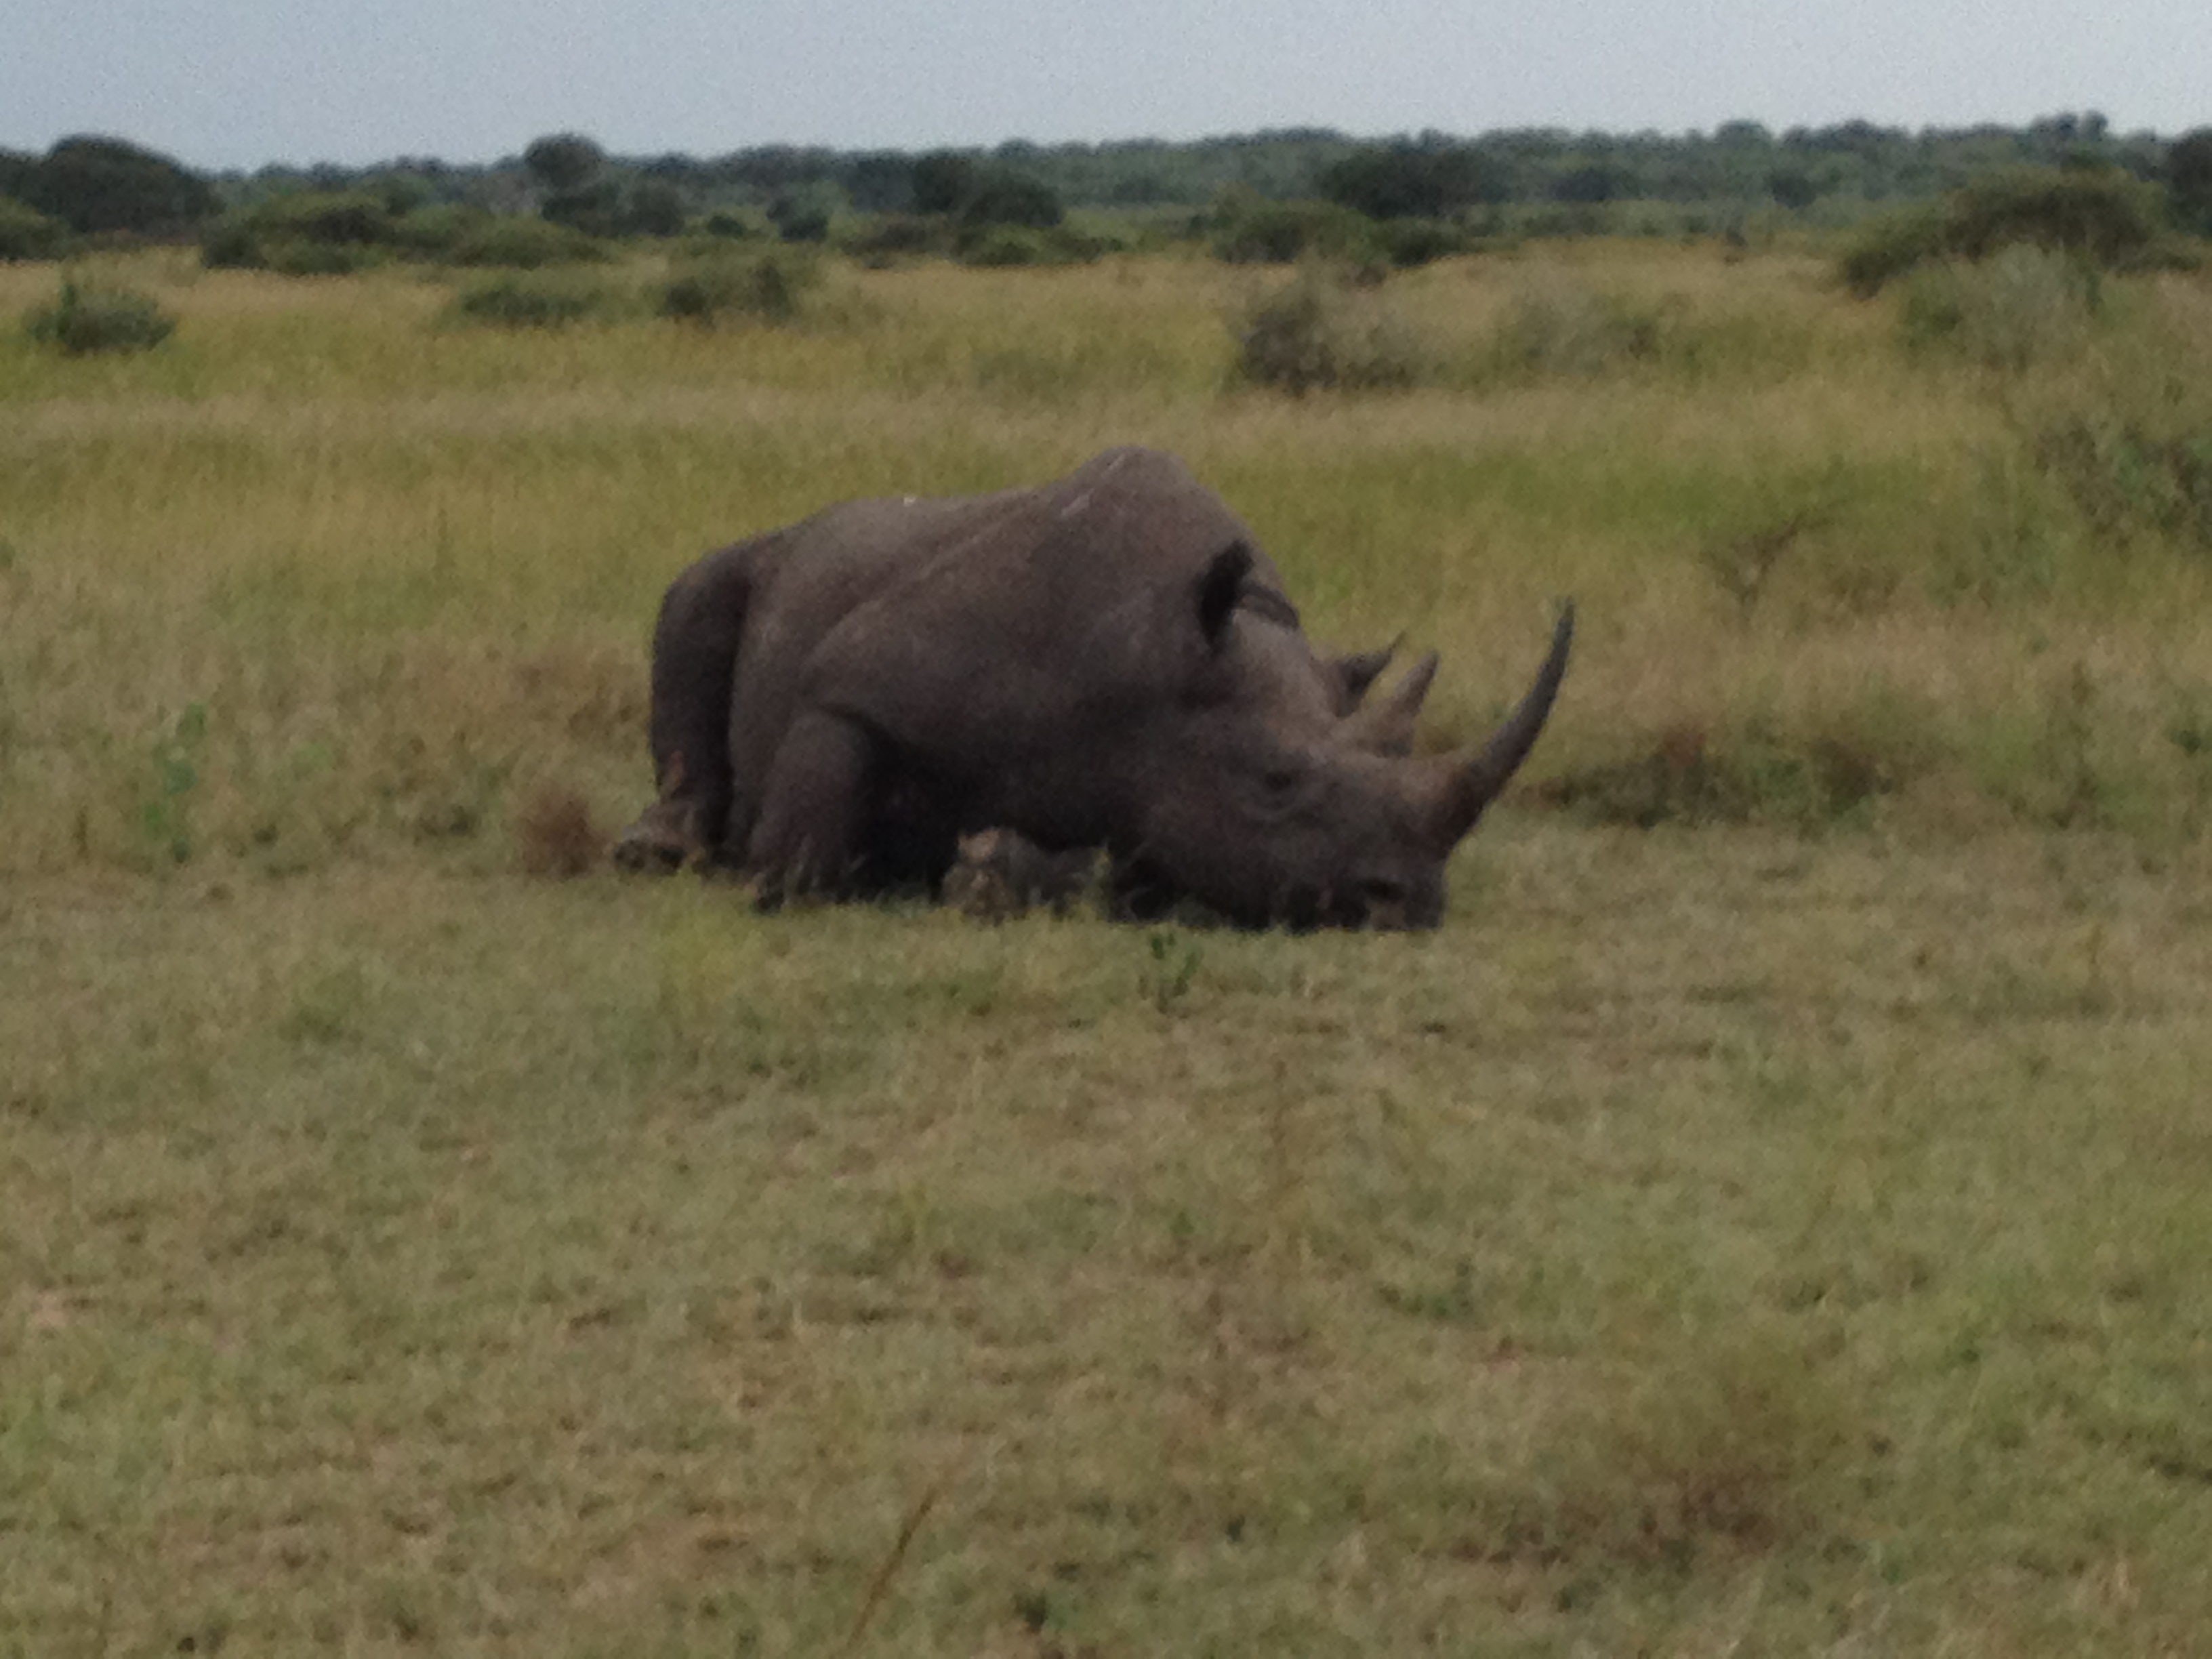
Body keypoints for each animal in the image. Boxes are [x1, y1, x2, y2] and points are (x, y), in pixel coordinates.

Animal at [615, 446, 1571, 929]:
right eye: (1275, 784)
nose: (1410, 903)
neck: (1153, 663)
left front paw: (990, 870)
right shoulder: (853, 686)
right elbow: (800, 859)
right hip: (771, 554)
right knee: (696, 591)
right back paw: (657, 851)